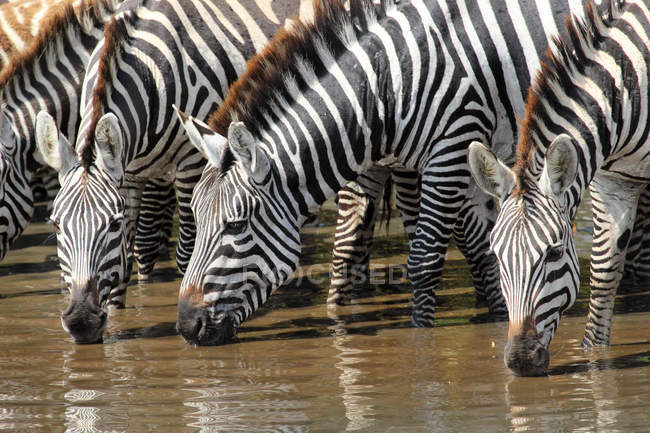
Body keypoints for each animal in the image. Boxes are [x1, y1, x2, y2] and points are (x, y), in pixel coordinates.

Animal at [35, 0, 312, 342]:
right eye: (57, 225)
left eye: (111, 224)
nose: (80, 322)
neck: (151, 76)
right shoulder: (130, 174)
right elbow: (129, 257)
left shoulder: (191, 163)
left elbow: (186, 252)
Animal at [175, 0, 596, 344]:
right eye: (196, 217)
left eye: (235, 226)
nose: (186, 326)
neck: (385, 88)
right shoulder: (380, 165)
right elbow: (347, 252)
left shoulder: (452, 147)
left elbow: (425, 258)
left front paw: (422, 344)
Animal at [466, 0, 648, 372]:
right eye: (497, 255)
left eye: (553, 252)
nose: (520, 360)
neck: (626, 87)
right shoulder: (613, 183)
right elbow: (604, 272)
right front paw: (594, 357)